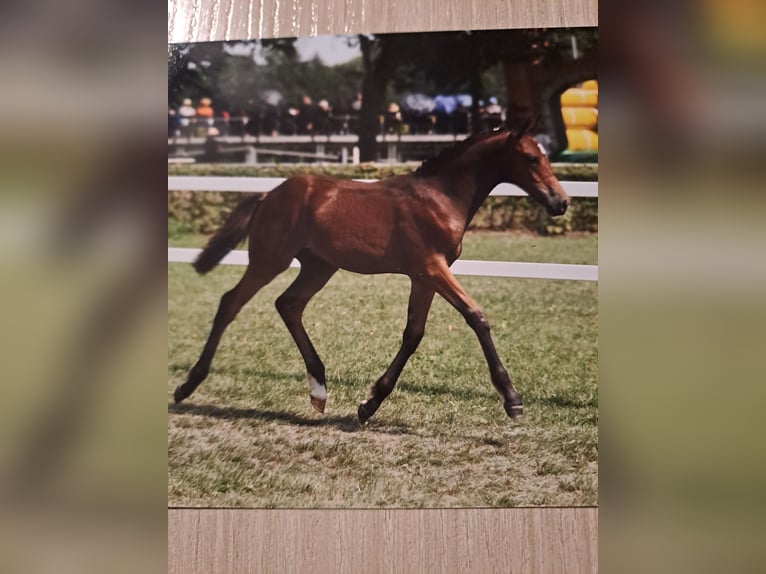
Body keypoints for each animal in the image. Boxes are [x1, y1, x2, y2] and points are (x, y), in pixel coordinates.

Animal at [174, 126, 568, 424]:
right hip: (270, 260)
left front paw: (369, 404)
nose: (560, 202)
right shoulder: (432, 267)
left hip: (319, 266)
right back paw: (187, 386)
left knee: (288, 304)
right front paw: (512, 399)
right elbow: (476, 316)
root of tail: (267, 194)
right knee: (231, 302)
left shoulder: (424, 276)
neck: (438, 197)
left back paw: (319, 389)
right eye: (531, 158)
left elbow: (413, 334)